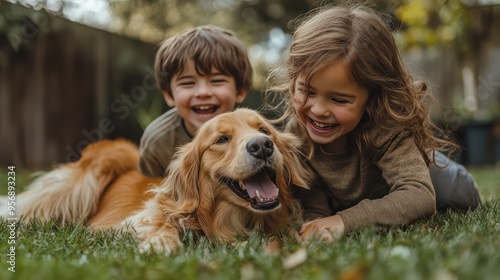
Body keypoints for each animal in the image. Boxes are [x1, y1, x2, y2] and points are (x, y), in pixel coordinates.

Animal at [9, 108, 308, 253]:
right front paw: (160, 245)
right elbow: (161, 224)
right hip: (88, 177)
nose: (262, 146)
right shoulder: (140, 217)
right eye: (222, 139)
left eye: (264, 130)